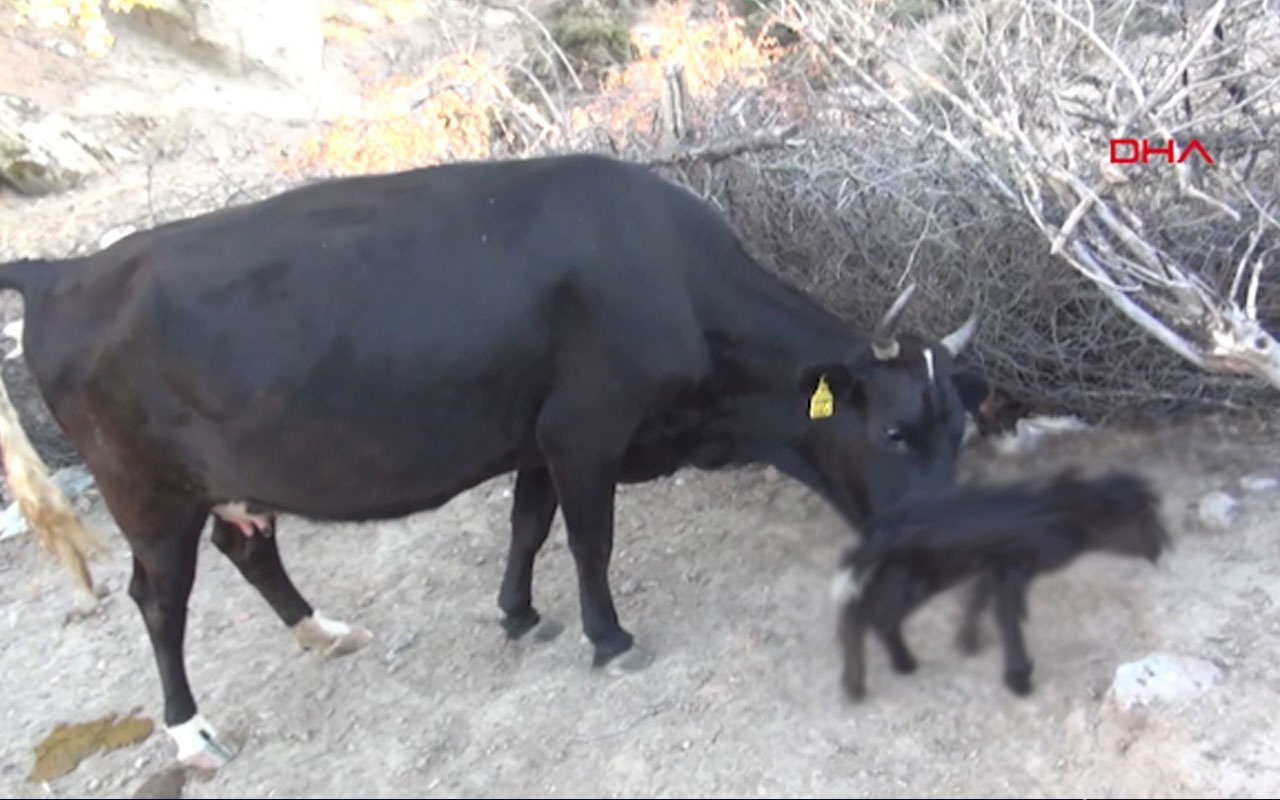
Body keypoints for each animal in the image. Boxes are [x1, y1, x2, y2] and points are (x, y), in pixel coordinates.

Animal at [0, 151, 983, 768]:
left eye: (961, 430)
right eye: (895, 432)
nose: (947, 540)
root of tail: (60, 271)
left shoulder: (537, 434)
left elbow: (528, 525)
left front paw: (518, 614)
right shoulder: (587, 428)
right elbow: (588, 539)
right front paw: (608, 637)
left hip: (230, 477)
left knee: (250, 547)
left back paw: (324, 632)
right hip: (145, 491)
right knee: (158, 602)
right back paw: (190, 733)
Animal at [829, 468, 1172, 696]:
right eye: (1145, 520)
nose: (1164, 546)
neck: (1065, 514)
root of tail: (880, 526)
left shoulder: (994, 568)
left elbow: (978, 602)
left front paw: (968, 642)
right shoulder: (1012, 569)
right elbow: (1007, 618)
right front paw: (1018, 679)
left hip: (915, 573)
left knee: (873, 614)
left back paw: (900, 663)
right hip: (918, 576)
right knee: (863, 613)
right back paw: (857, 685)